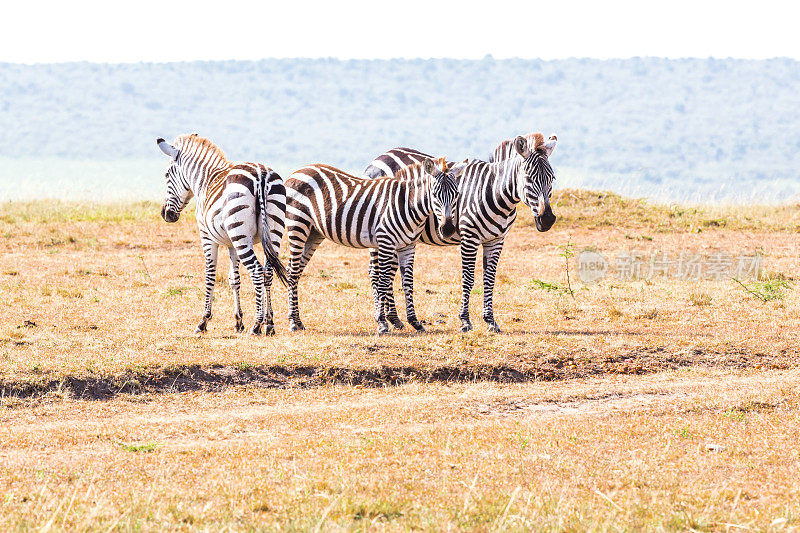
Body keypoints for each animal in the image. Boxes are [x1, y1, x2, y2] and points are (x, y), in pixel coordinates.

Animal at [154, 133, 288, 332]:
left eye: (166, 175)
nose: (166, 214)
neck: (204, 181)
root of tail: (261, 175)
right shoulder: (232, 243)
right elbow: (234, 279)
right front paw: (238, 321)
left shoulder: (207, 236)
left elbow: (210, 275)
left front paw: (203, 321)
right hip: (271, 232)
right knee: (268, 272)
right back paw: (269, 323)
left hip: (241, 235)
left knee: (257, 271)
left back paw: (257, 325)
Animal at [286, 157, 462, 332]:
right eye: (435, 194)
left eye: (457, 195)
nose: (447, 229)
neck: (408, 204)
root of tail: (297, 171)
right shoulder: (386, 241)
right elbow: (383, 280)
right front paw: (382, 322)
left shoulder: (408, 246)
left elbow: (408, 282)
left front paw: (415, 321)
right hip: (297, 225)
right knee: (292, 271)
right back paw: (293, 321)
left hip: (314, 233)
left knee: (294, 270)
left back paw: (297, 320)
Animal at [360, 132, 556, 330]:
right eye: (529, 178)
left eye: (553, 179)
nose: (547, 219)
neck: (495, 191)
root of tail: (378, 159)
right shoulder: (469, 237)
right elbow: (468, 278)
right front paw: (465, 320)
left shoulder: (496, 240)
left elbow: (490, 279)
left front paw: (490, 321)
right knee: (375, 272)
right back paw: (385, 319)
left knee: (388, 273)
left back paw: (394, 319)